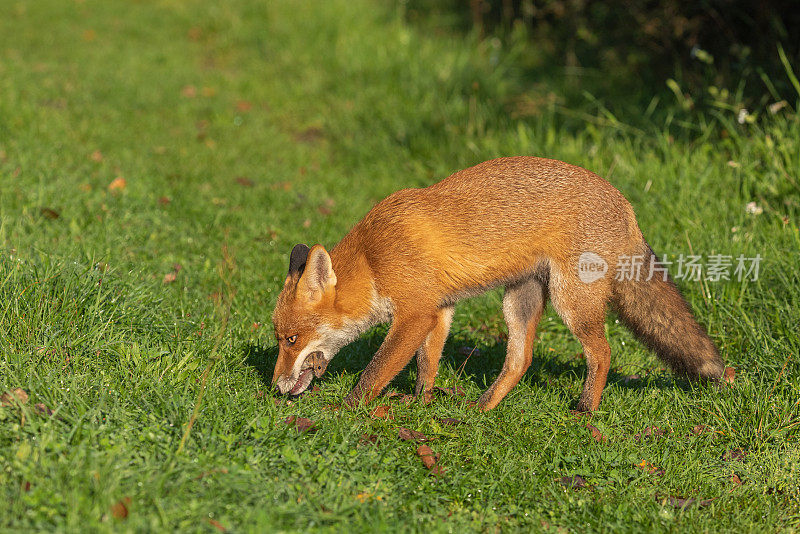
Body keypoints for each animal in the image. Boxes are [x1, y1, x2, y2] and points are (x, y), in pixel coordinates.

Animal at [270, 157, 732, 412]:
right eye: (279, 339)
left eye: (291, 339)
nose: (274, 388)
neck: (373, 258)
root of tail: (628, 208)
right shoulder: (440, 309)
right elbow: (427, 365)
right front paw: (422, 403)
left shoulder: (415, 312)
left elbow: (375, 372)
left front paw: (345, 410)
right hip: (519, 300)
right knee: (520, 360)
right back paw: (482, 408)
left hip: (571, 301)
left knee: (602, 353)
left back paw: (585, 410)